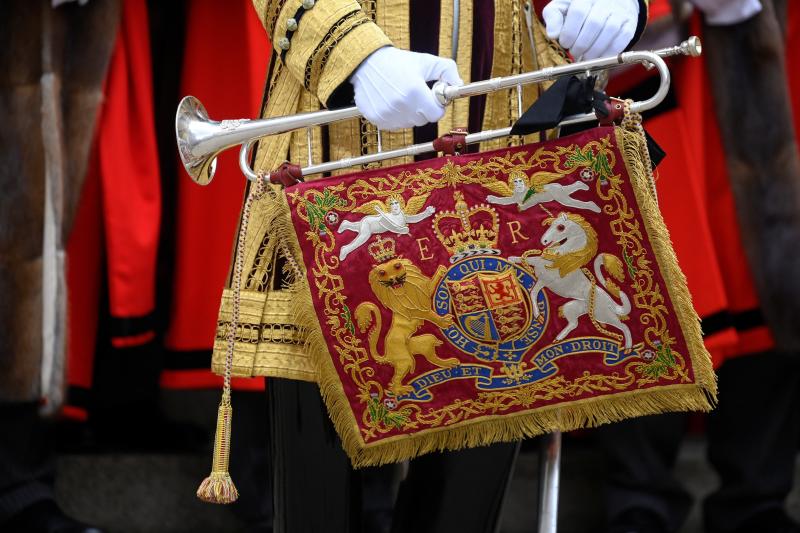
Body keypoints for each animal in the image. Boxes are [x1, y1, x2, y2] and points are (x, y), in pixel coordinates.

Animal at [354, 258, 460, 394]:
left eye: (397, 266)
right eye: (382, 273)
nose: (393, 279)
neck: (403, 292)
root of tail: (387, 354)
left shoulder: (422, 295)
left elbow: (430, 286)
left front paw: (441, 269)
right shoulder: (418, 310)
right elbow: (431, 315)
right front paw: (443, 322)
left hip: (415, 345)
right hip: (405, 359)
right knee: (394, 381)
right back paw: (402, 390)